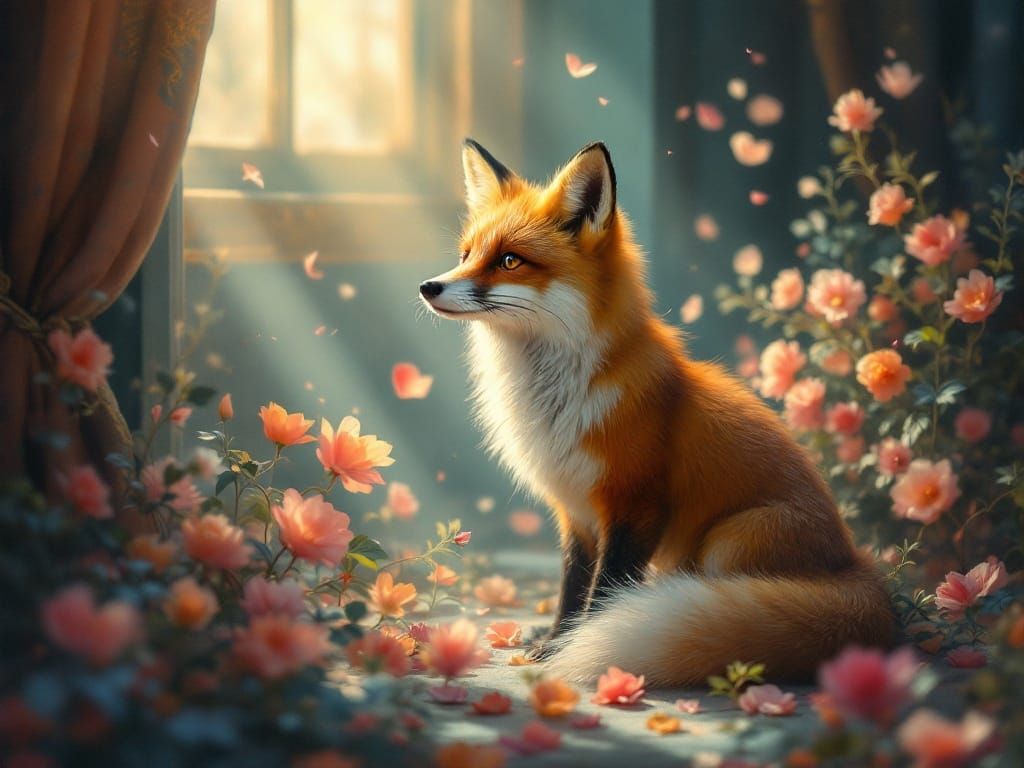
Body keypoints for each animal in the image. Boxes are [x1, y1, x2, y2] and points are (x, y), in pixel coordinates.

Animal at [419, 138, 895, 686]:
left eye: (510, 260)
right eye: (466, 255)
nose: (428, 286)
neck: (558, 399)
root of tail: (854, 561)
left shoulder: (637, 502)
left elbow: (604, 589)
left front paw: (579, 648)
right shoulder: (575, 511)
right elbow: (571, 586)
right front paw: (556, 641)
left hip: (728, 542)